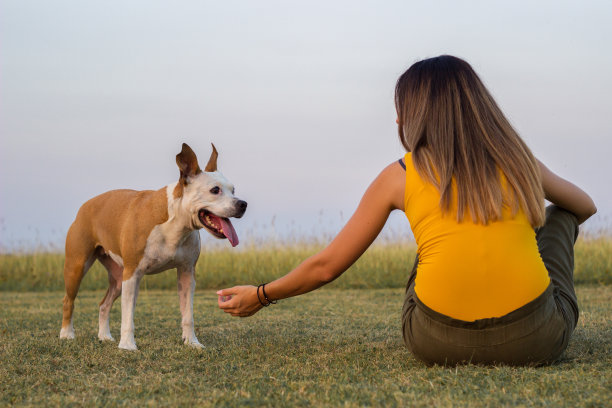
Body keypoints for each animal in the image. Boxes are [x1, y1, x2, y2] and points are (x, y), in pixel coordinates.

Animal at [59, 143, 246, 350]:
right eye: (215, 190)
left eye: (233, 190)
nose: (242, 204)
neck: (175, 223)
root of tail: (85, 205)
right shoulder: (132, 275)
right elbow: (128, 317)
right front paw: (128, 345)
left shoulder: (187, 273)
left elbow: (188, 315)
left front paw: (191, 342)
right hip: (77, 266)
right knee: (68, 301)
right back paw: (67, 334)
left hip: (118, 278)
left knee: (104, 305)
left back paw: (104, 336)